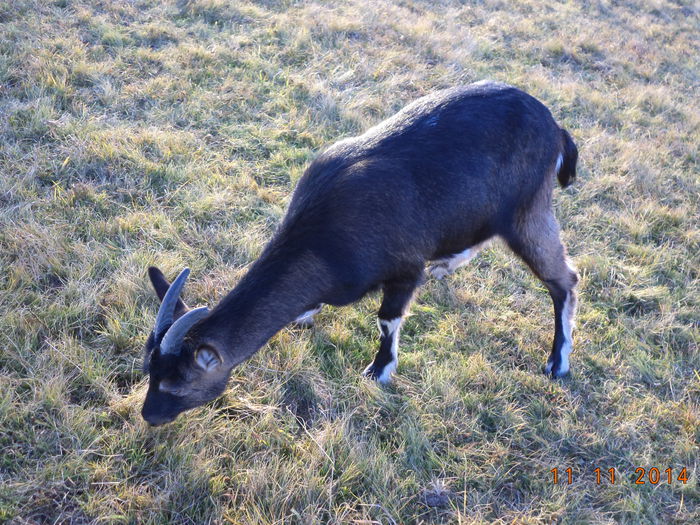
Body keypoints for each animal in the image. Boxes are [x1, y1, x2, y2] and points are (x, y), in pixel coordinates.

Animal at [141, 81, 580, 426]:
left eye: (177, 385)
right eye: (149, 371)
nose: (148, 416)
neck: (323, 238)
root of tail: (554, 127)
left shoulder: (405, 268)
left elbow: (388, 318)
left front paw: (379, 370)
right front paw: (306, 314)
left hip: (528, 210)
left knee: (564, 280)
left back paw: (557, 363)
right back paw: (448, 263)